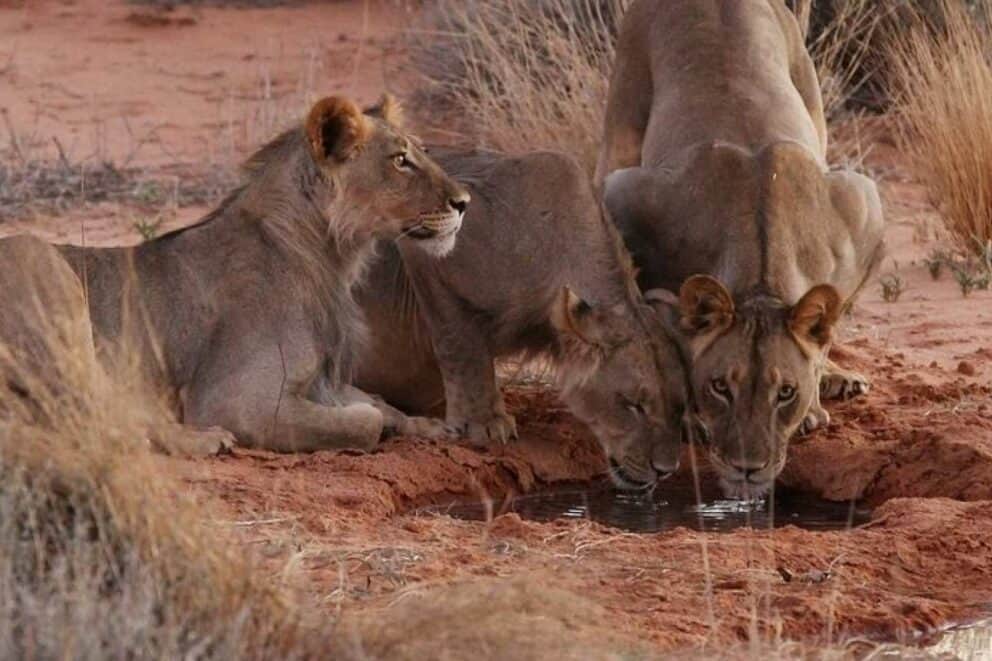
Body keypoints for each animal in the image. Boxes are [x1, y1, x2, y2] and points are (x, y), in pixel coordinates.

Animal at [1, 95, 470, 454]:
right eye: (401, 161)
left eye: (423, 151)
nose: (463, 202)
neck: (329, 256)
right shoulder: (238, 400)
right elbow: (364, 420)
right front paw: (374, 421)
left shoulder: (322, 377)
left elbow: (378, 400)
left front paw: (429, 426)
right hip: (39, 263)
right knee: (97, 410)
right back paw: (202, 440)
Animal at [354, 149, 694, 489]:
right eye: (634, 405)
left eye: (679, 406)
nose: (666, 469)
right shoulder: (431, 247)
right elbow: (462, 349)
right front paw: (483, 423)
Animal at [597, 0, 885, 497]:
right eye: (720, 387)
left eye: (785, 392)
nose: (746, 468)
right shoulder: (628, 197)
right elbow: (664, 326)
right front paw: (687, 414)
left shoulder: (863, 204)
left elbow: (828, 323)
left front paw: (815, 397)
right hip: (621, 123)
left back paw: (839, 380)